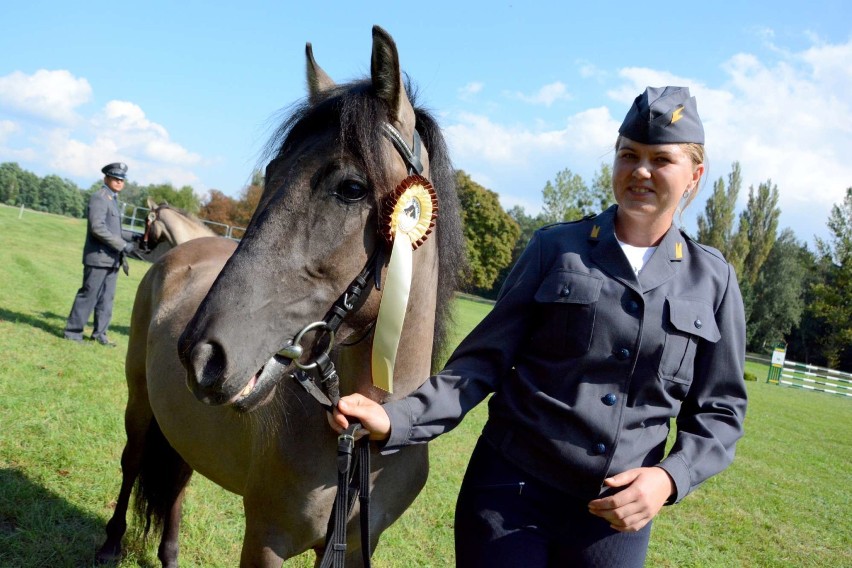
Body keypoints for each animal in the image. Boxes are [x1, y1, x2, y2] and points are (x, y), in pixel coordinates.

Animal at [98, 24, 466, 564]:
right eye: (271, 173)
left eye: (351, 188)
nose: (201, 355)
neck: (361, 435)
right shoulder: (266, 540)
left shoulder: (357, 546)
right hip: (140, 403)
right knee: (132, 463)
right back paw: (109, 543)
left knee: (179, 479)